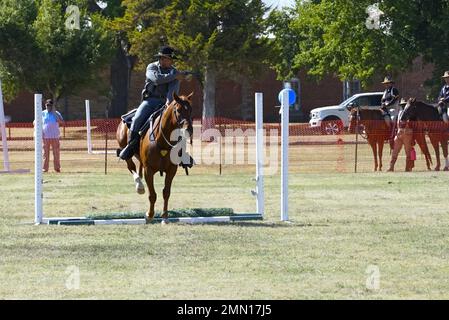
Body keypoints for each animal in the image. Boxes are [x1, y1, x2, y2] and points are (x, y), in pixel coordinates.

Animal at [115, 92, 192, 222]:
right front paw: (149, 215)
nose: (189, 130)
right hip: (126, 151)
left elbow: (166, 192)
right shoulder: (149, 170)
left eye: (191, 109)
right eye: (178, 110)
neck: (162, 140)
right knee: (131, 166)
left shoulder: (171, 170)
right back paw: (139, 186)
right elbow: (152, 195)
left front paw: (165, 217)